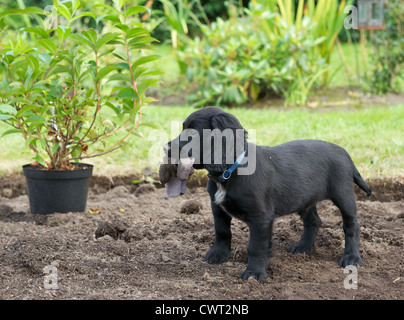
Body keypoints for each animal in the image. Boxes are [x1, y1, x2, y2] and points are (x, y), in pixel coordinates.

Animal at [165, 107, 370, 280]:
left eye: (192, 133)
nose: (165, 148)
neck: (230, 172)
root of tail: (344, 152)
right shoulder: (217, 208)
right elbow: (222, 231)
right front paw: (219, 254)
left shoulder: (260, 218)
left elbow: (255, 246)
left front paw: (254, 273)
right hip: (304, 198)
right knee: (313, 221)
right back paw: (303, 247)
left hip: (343, 194)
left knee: (352, 225)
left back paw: (351, 257)